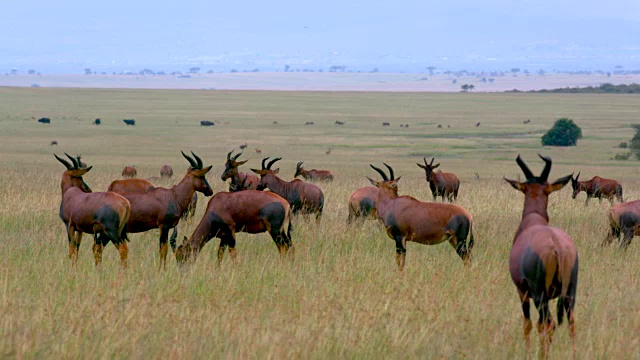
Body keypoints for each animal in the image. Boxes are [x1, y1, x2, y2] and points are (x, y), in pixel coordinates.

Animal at [504, 154, 580, 358]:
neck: (533, 220)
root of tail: (558, 246)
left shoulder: (522, 291)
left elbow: (528, 324)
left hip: (540, 295)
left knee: (548, 323)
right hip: (570, 292)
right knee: (571, 323)